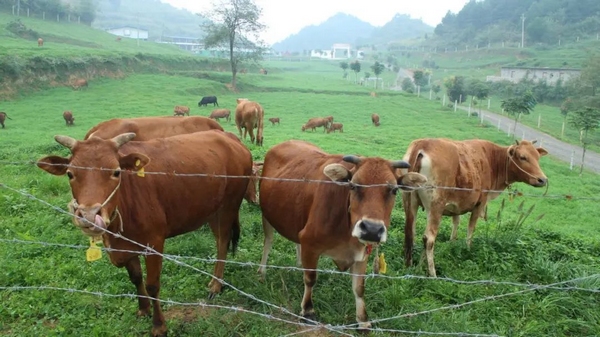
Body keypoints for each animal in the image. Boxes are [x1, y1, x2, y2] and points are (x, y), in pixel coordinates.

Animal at [37, 129, 253, 336]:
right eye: (70, 174)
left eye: (116, 172)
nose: (89, 215)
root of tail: (229, 137)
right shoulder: (126, 246)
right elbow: (135, 277)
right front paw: (143, 309)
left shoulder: (155, 243)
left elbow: (152, 285)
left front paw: (159, 326)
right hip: (211, 210)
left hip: (229, 206)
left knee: (223, 241)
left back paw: (216, 285)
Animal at [258, 139, 426, 328]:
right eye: (353, 185)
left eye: (394, 190)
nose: (372, 229)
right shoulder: (309, 243)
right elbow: (310, 278)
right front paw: (308, 311)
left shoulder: (362, 252)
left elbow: (359, 288)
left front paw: (363, 320)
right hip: (267, 215)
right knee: (268, 241)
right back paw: (262, 272)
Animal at [400, 138, 552, 276]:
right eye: (522, 157)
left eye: (537, 157)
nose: (542, 179)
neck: (492, 160)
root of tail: (423, 144)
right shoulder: (480, 203)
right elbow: (471, 229)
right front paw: (467, 249)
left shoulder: (455, 204)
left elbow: (456, 223)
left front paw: (451, 244)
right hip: (436, 206)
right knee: (429, 239)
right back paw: (432, 273)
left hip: (410, 202)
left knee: (411, 232)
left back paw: (412, 267)